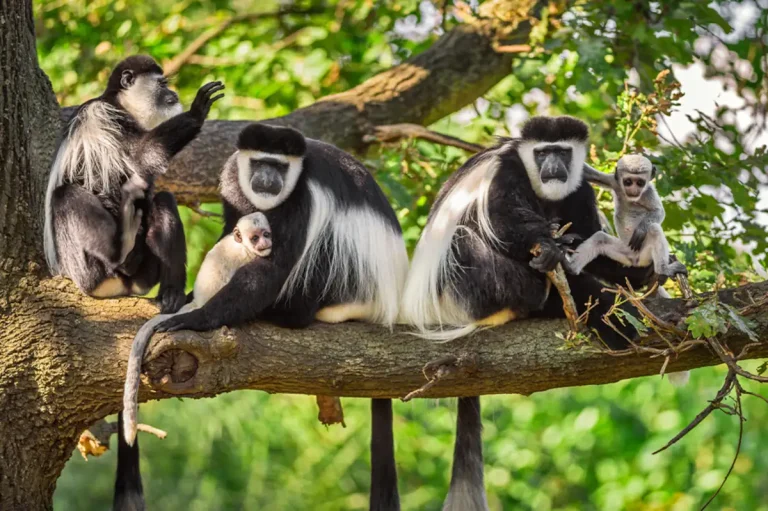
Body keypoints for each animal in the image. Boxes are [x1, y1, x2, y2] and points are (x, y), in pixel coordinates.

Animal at [122, 212, 273, 446]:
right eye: (255, 238)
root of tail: (198, 303)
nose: (265, 243)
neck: (241, 245)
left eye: (266, 234)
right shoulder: (246, 257)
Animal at [401, 116, 656, 510]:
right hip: (462, 291)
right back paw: (548, 289)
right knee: (465, 239)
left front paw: (635, 271)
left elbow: (588, 234)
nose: (552, 167)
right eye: (541, 153)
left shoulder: (578, 187)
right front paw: (549, 247)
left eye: (562, 152)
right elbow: (502, 221)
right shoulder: (506, 173)